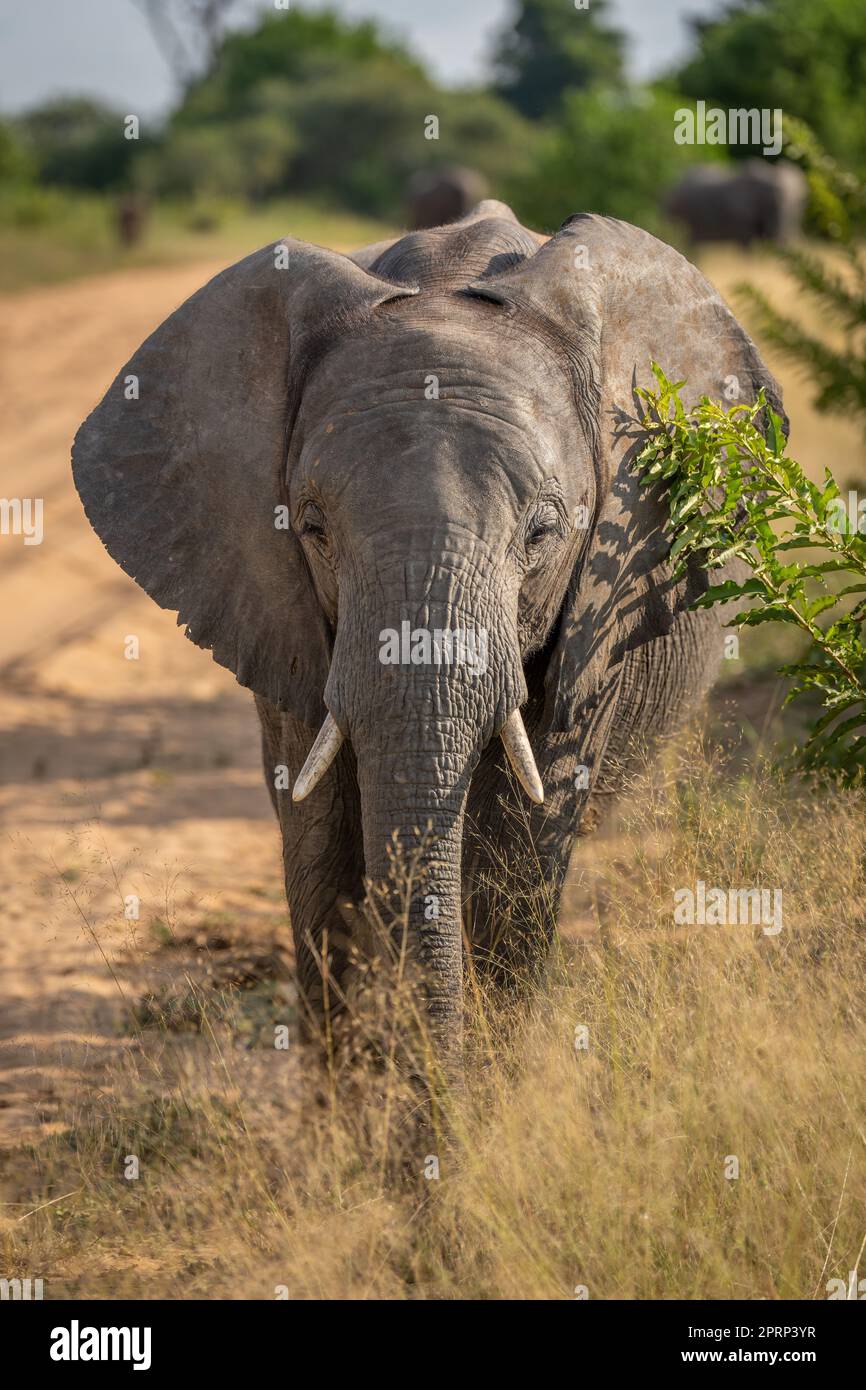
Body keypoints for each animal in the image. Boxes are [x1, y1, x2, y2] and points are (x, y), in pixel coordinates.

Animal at [71, 198, 783, 1061]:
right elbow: (321, 851)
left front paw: (488, 1091)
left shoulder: (602, 603)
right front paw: (362, 1098)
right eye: (312, 527)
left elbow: (521, 852)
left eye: (543, 532)